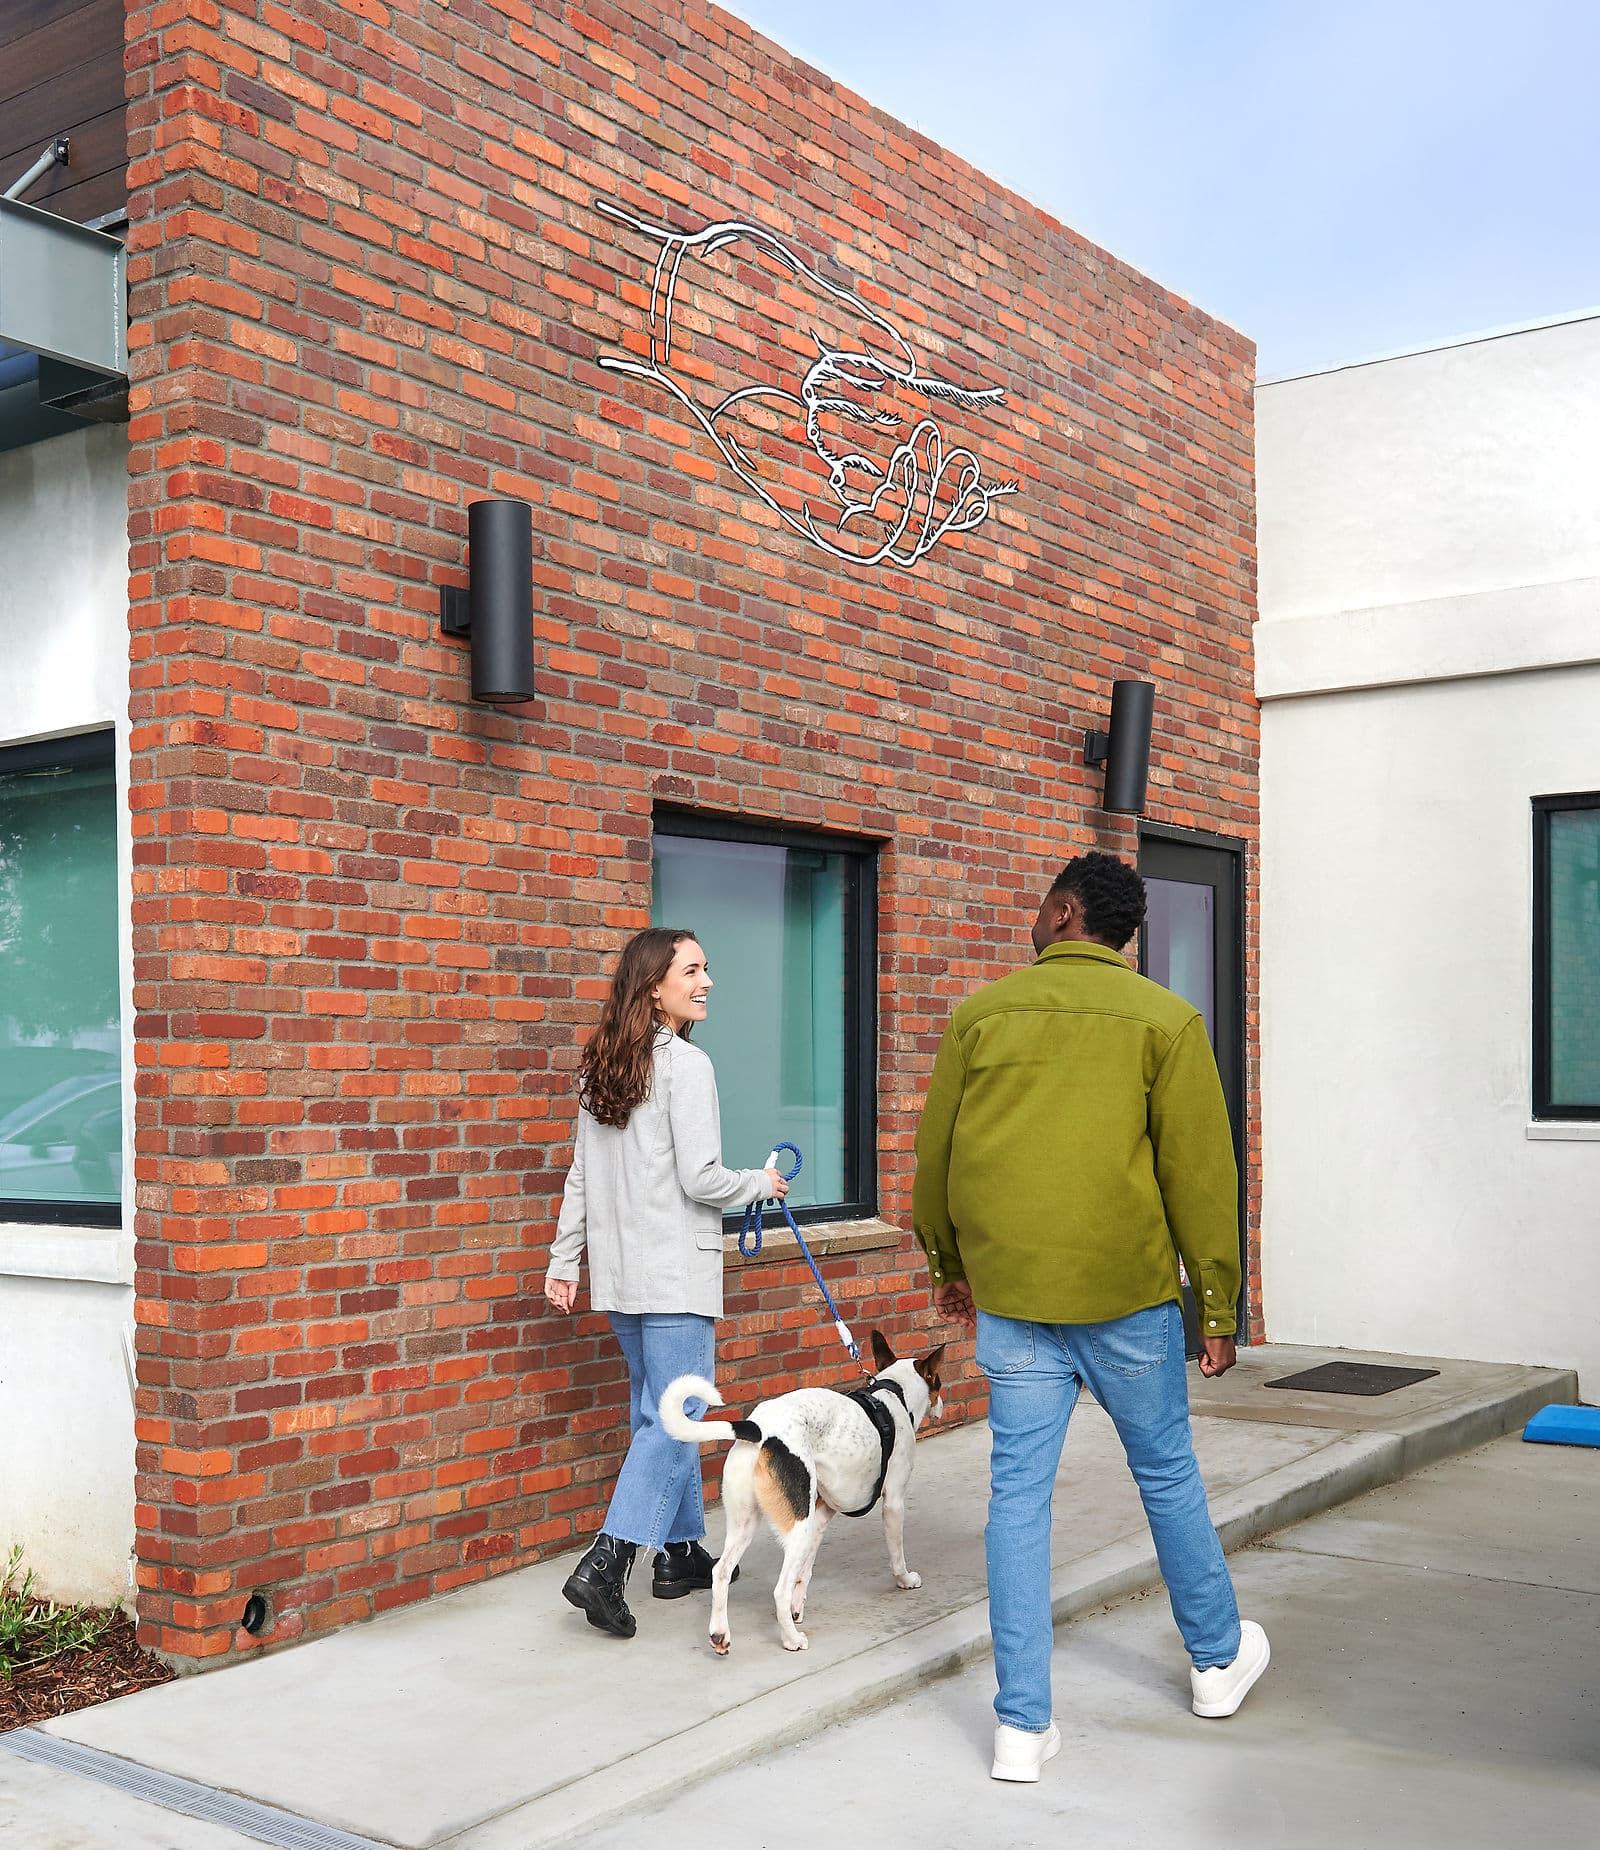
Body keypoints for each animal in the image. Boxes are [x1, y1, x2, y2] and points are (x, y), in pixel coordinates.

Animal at [654, 1339, 943, 1657]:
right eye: (938, 1382)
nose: (942, 1404)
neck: (893, 1394)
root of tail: (757, 1427)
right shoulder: (893, 1502)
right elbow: (896, 1553)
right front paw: (904, 1580)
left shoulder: (820, 1515)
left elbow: (805, 1572)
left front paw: (797, 1608)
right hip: (797, 1528)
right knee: (780, 1589)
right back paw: (791, 1639)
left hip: (750, 1524)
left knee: (722, 1572)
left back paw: (720, 1634)